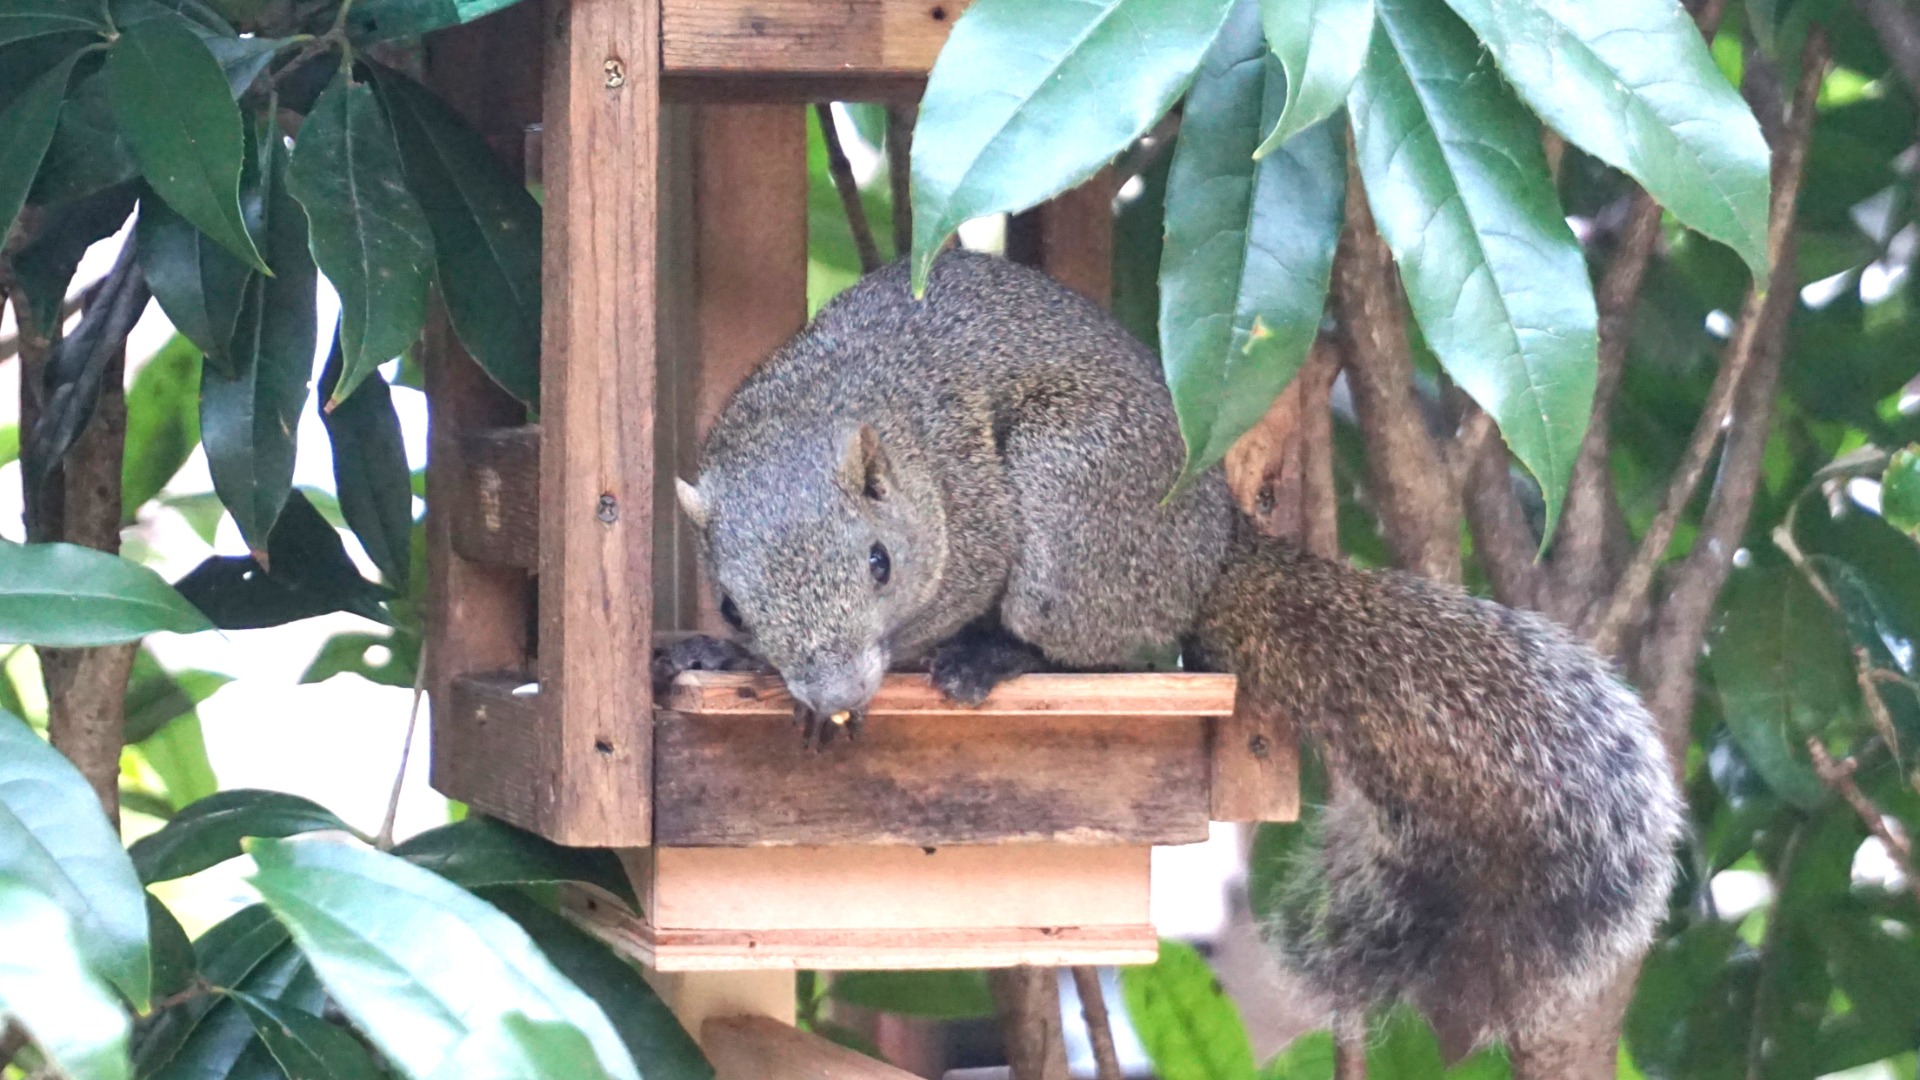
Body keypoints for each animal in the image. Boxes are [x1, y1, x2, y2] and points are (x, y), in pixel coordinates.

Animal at [672, 249, 1681, 1045]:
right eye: (730, 602)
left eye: (880, 562)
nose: (838, 691)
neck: (834, 407)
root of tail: (1207, 553)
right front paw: (736, 666)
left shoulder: (976, 505)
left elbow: (963, 584)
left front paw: (910, 664)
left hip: (1074, 497)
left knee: (1088, 644)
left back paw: (995, 658)